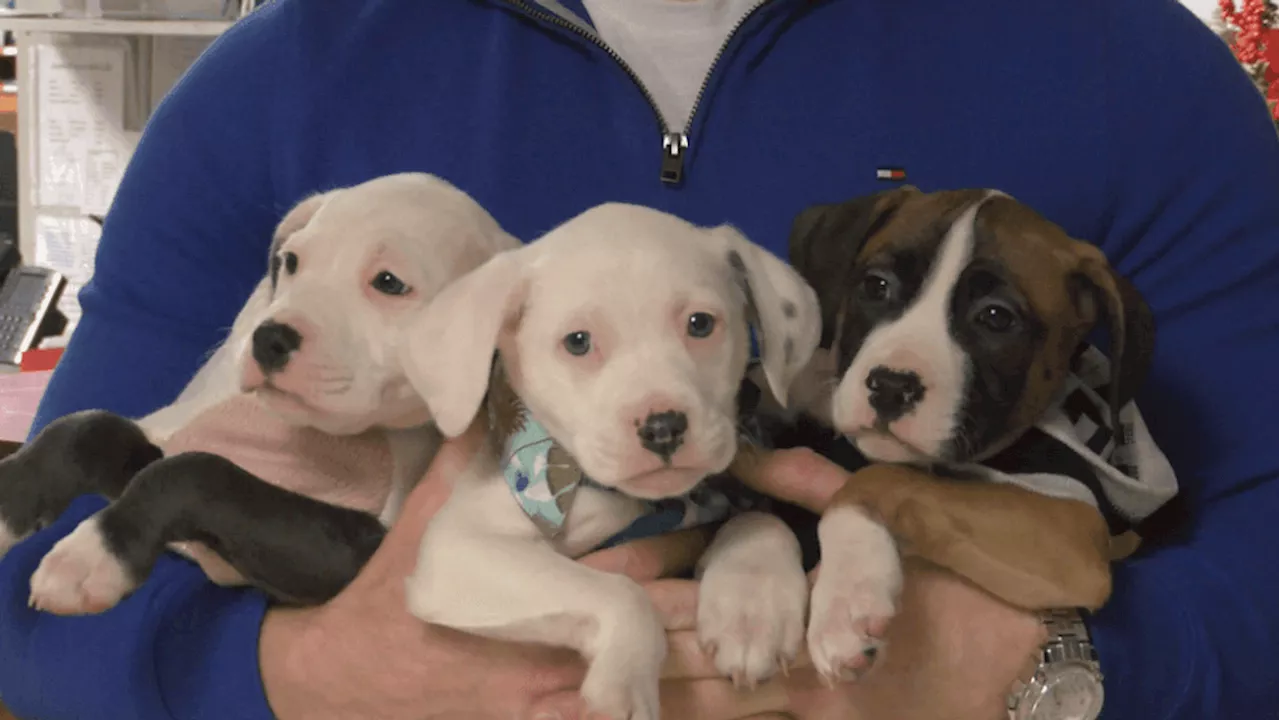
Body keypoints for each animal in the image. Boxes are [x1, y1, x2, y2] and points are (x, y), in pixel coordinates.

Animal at [399, 202, 819, 717]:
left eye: (700, 324)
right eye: (578, 342)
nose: (662, 428)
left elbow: (759, 518)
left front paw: (752, 605)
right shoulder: (461, 547)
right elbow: (620, 592)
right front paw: (625, 683)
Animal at [783, 183, 1157, 676]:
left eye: (996, 317)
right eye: (876, 286)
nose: (890, 387)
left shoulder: (1068, 530)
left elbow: (878, 478)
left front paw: (847, 597)